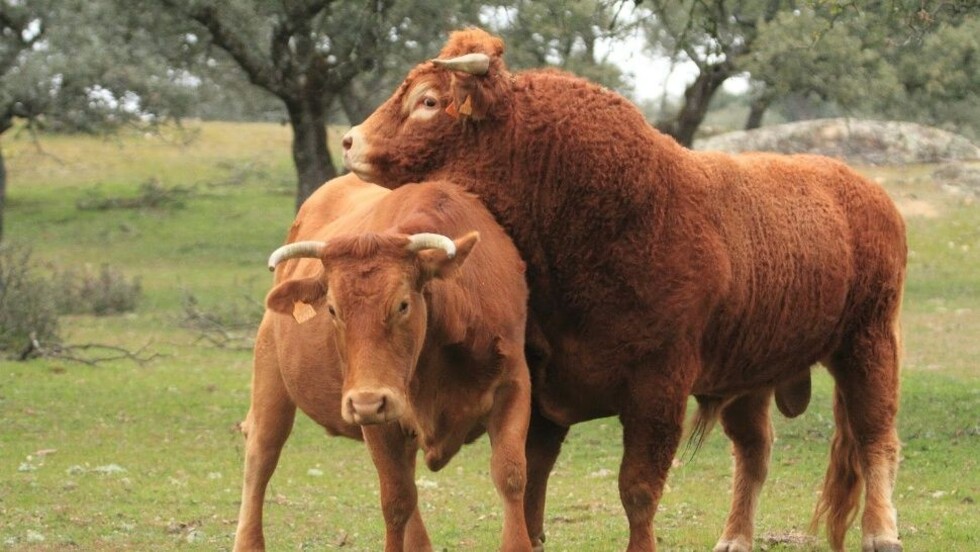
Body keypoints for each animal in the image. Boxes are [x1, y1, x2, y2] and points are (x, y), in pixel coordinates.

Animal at [233, 173, 534, 552]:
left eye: (403, 304)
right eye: (332, 309)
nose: (367, 401)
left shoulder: (513, 385)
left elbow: (510, 474)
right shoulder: (378, 419)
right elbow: (396, 500)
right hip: (271, 375)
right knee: (261, 455)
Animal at [341, 28, 907, 552]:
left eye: (428, 101)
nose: (350, 141)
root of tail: (864, 189)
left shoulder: (658, 387)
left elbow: (637, 489)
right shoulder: (544, 389)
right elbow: (532, 483)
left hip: (870, 343)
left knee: (875, 437)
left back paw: (881, 531)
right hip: (752, 372)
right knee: (755, 452)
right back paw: (735, 536)